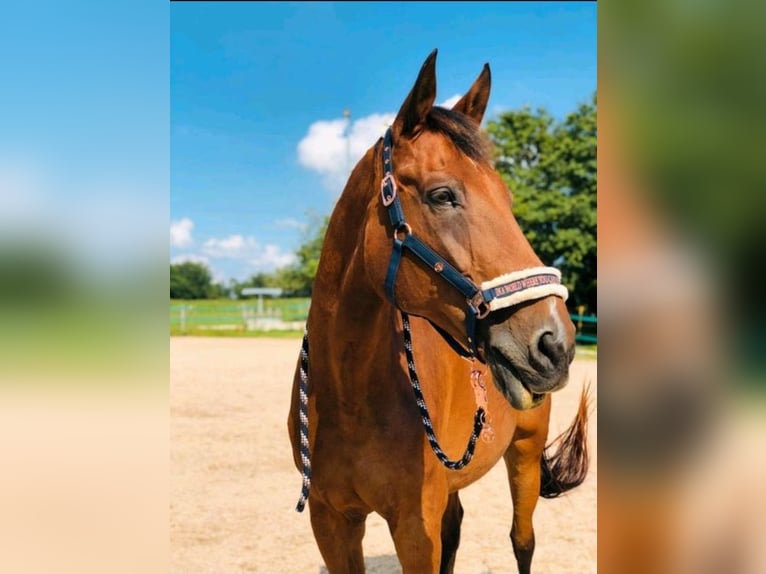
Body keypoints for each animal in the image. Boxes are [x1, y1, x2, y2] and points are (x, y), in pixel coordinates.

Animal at [292, 50, 592, 574]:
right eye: (442, 195)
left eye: (508, 200)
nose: (555, 342)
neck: (349, 393)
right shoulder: (331, 521)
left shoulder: (415, 525)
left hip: (525, 453)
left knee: (523, 540)